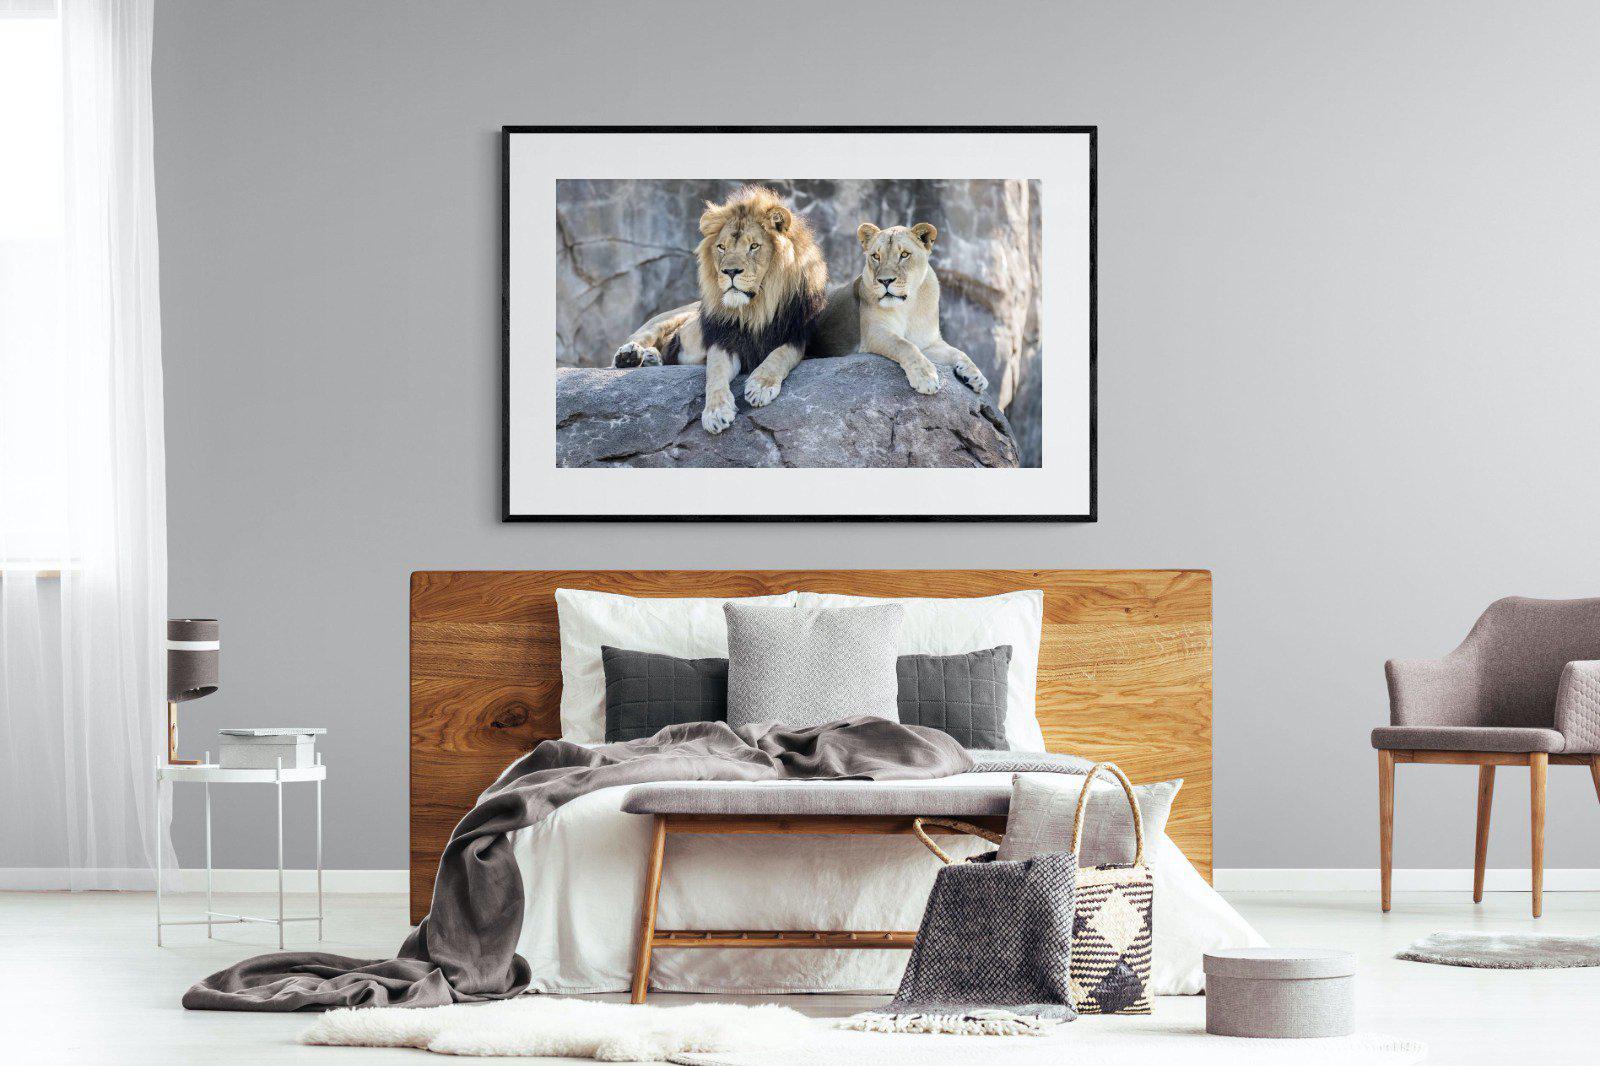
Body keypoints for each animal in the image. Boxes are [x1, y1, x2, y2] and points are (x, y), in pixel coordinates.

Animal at [610, 186, 828, 434]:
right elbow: (714, 374)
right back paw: (630, 356)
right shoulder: (724, 340)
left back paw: (650, 358)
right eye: (721, 247)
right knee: (639, 337)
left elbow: (779, 355)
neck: (755, 309)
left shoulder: (798, 337)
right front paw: (715, 412)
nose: (730, 271)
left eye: (754, 246)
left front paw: (760, 386)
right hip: (669, 317)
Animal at [808, 221, 989, 396]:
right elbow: (904, 345)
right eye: (876, 256)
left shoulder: (928, 343)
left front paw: (976, 376)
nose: (885, 281)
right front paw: (925, 377)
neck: (909, 306)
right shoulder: (874, 333)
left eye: (904, 255)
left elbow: (958, 352)